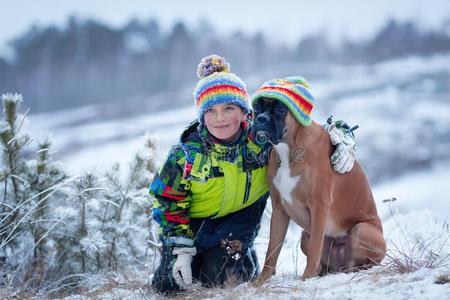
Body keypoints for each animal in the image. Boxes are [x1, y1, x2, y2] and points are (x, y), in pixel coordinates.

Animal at [253, 98, 386, 284]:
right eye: (257, 107)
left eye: (280, 108)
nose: (261, 118)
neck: (289, 149)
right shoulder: (279, 211)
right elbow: (272, 251)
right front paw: (260, 282)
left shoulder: (319, 207)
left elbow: (315, 247)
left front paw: (307, 277)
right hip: (305, 236)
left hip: (361, 230)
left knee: (359, 263)